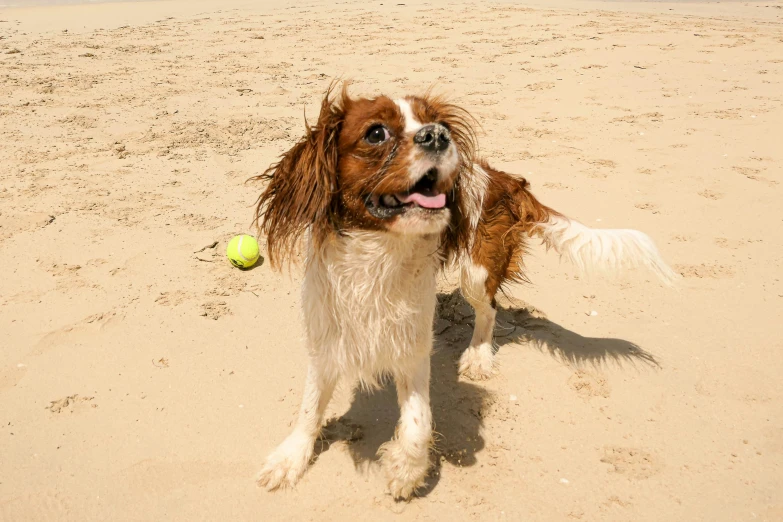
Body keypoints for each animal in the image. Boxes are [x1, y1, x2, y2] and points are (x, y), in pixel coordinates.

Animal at [254, 83, 676, 498]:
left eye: (438, 123)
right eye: (376, 133)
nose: (438, 135)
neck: (377, 253)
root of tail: (504, 177)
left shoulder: (412, 343)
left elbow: (419, 420)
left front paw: (407, 470)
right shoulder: (327, 337)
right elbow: (310, 408)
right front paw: (291, 459)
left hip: (475, 271)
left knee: (489, 309)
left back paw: (478, 355)